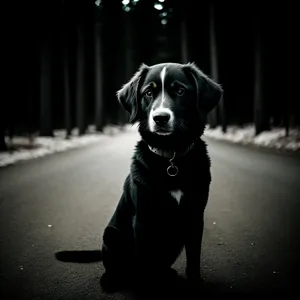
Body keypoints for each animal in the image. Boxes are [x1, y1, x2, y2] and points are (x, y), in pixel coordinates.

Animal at [101, 62, 223, 292]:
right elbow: (145, 262)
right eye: (148, 93)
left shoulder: (195, 215)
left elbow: (194, 259)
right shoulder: (142, 219)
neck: (171, 157)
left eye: (180, 91)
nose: (160, 118)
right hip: (111, 234)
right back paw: (111, 280)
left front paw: (194, 282)